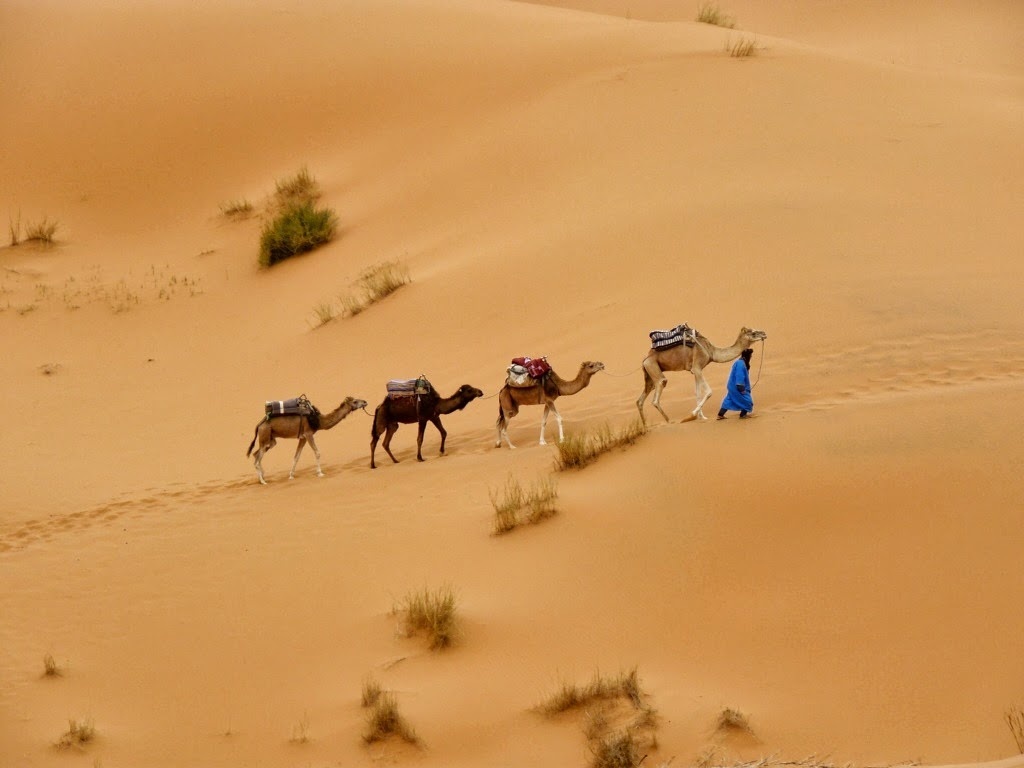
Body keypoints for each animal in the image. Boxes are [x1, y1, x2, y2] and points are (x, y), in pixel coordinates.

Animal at [630, 325, 770, 428]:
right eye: (753, 333)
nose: (764, 333)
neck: (711, 351)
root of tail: (645, 358)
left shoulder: (695, 370)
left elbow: (697, 393)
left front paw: (702, 417)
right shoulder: (697, 367)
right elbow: (708, 392)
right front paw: (691, 415)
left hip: (649, 374)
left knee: (640, 399)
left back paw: (645, 426)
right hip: (653, 368)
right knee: (658, 391)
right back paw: (669, 421)